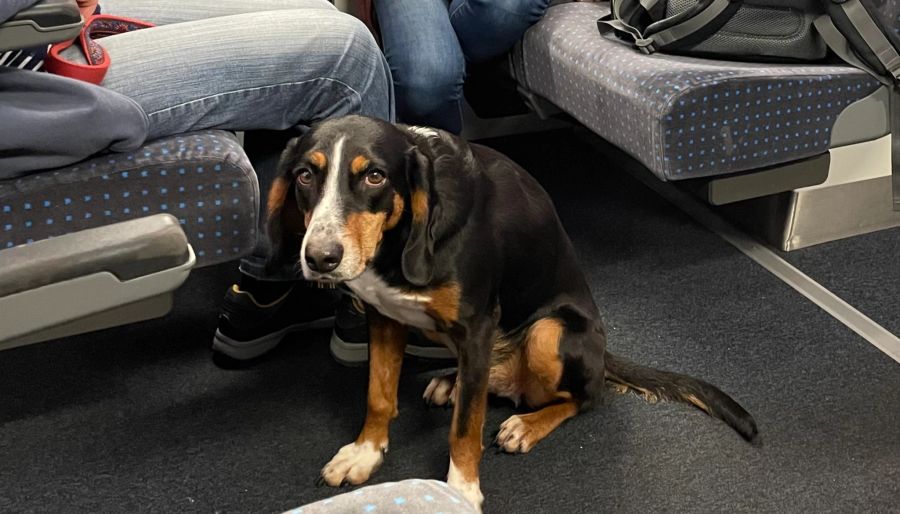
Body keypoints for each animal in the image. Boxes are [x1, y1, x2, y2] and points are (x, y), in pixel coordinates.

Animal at [264, 114, 756, 510]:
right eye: (305, 175)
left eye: (374, 177)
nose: (320, 258)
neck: (397, 244)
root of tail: (603, 349)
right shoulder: (385, 316)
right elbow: (379, 395)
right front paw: (365, 452)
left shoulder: (478, 326)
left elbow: (465, 428)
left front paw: (461, 491)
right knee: (487, 383)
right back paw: (452, 382)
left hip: (549, 334)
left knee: (583, 396)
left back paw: (525, 424)